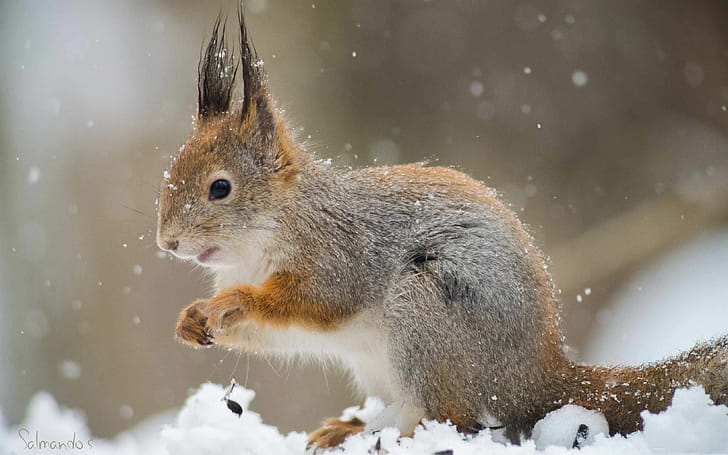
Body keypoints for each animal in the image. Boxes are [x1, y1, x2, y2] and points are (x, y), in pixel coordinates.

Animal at [156, 13, 728, 448]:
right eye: (171, 172)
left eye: (221, 188)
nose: (168, 243)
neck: (264, 238)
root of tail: (537, 380)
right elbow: (269, 333)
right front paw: (191, 320)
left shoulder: (339, 255)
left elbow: (313, 300)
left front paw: (234, 302)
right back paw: (351, 427)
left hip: (425, 314)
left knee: (454, 417)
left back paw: (385, 435)